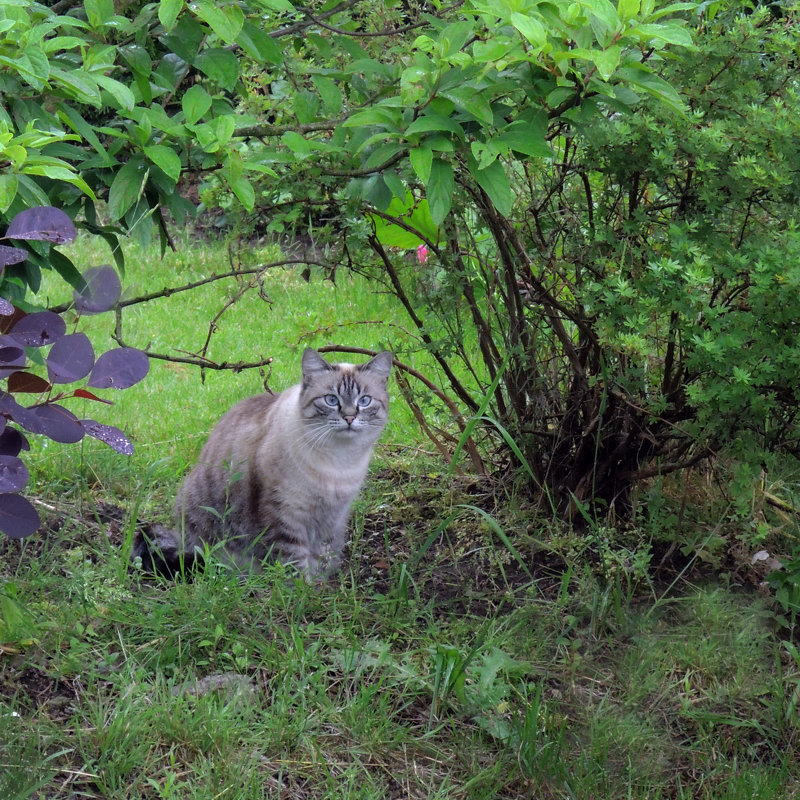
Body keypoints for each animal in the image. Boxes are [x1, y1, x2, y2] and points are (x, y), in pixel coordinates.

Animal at [136, 346, 392, 580]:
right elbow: (295, 563)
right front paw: (305, 591)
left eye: (364, 401)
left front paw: (319, 587)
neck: (340, 461)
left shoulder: (332, 516)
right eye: (331, 400)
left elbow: (321, 556)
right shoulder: (286, 513)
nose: (349, 417)